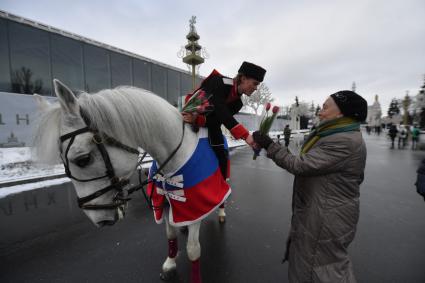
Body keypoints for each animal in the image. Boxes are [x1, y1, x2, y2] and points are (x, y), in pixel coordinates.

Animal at [34, 80, 230, 283]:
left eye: (83, 159)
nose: (98, 219)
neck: (176, 156)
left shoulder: (195, 205)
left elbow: (193, 249)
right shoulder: (165, 202)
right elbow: (170, 234)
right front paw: (170, 264)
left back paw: (221, 212)